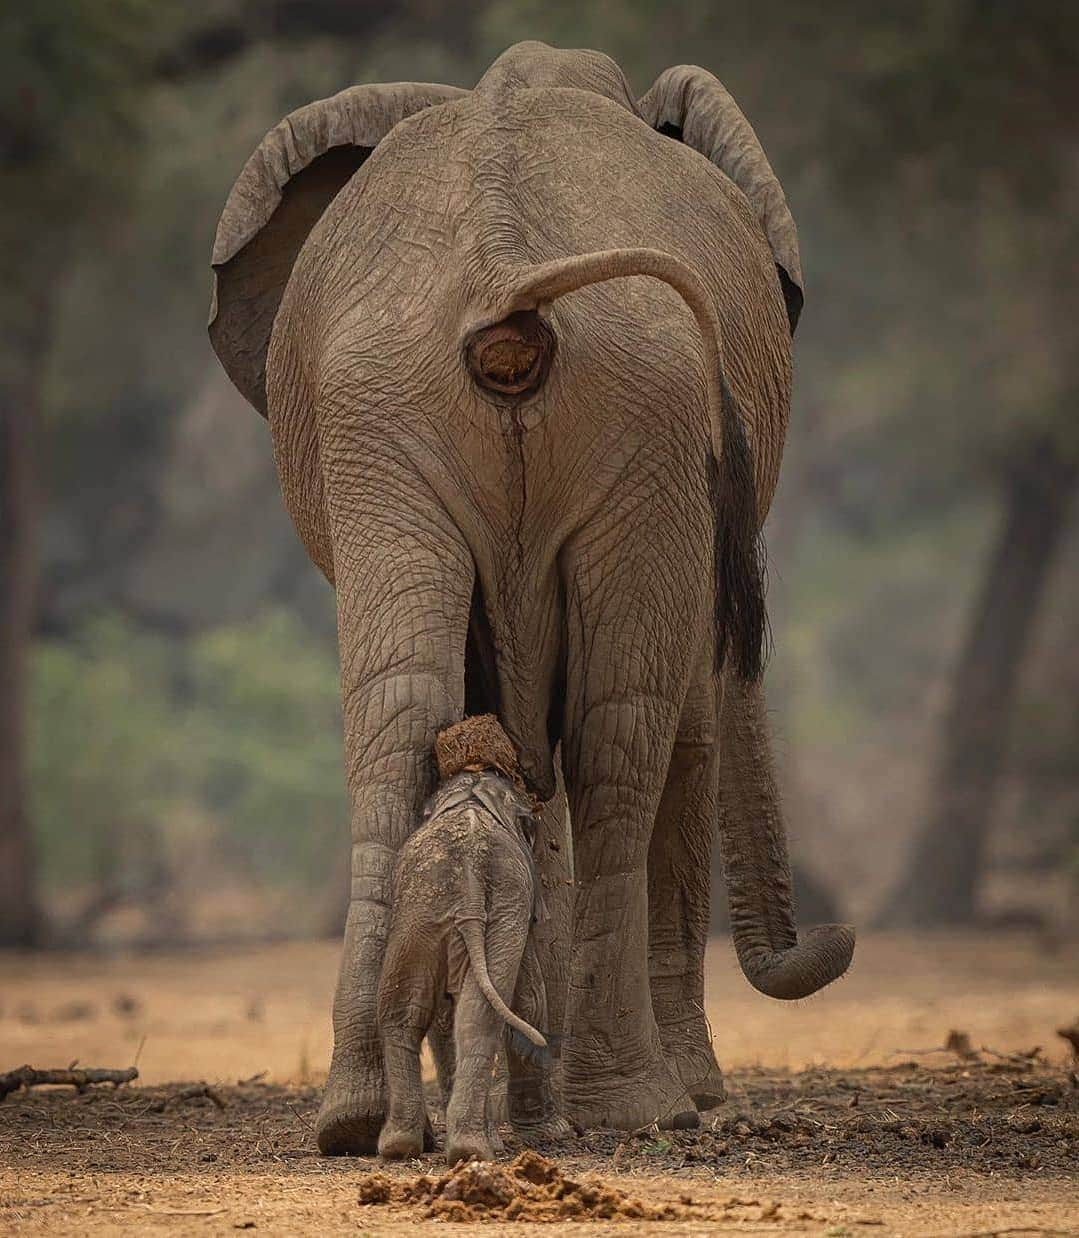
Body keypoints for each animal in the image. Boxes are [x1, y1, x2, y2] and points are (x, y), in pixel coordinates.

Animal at [376, 718, 569, 1158]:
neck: (472, 791)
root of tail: (467, 883)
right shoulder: (519, 903)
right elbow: (529, 996)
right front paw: (555, 1133)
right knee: (477, 1014)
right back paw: (471, 1149)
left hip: (419, 913)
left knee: (405, 1008)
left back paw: (404, 1146)